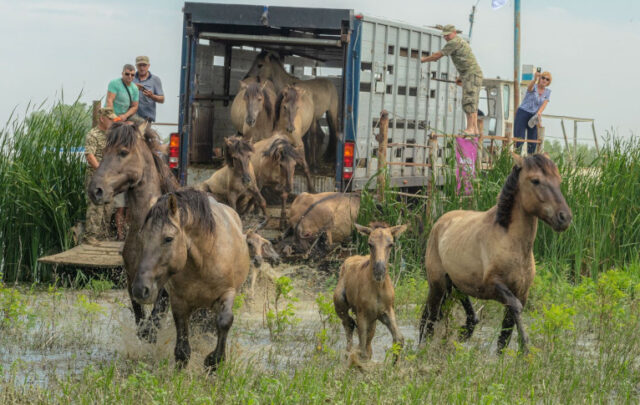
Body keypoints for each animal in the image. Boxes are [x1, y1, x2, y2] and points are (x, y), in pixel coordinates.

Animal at [86, 120, 179, 340]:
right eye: (104, 150)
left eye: (123, 151)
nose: (95, 190)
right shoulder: (132, 281)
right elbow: (141, 323)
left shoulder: (164, 290)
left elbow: (153, 323)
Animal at [131, 188, 249, 370]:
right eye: (141, 236)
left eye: (168, 238)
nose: (139, 290)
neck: (206, 259)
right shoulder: (179, 301)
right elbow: (182, 344)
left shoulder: (228, 292)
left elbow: (224, 321)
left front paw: (214, 362)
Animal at [332, 223, 408, 364]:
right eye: (370, 244)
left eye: (391, 244)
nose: (379, 270)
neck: (377, 288)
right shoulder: (362, 313)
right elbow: (362, 347)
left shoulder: (386, 311)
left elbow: (399, 338)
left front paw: (394, 365)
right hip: (340, 303)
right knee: (349, 324)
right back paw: (347, 354)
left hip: (373, 317)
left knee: (366, 333)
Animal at [418, 153, 572, 352]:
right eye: (536, 180)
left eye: (558, 180)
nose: (565, 218)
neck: (510, 242)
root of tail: (439, 223)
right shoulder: (494, 284)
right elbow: (515, 309)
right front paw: (526, 347)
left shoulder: (522, 292)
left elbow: (504, 336)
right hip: (437, 285)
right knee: (429, 320)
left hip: (455, 283)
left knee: (465, 313)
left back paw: (465, 331)